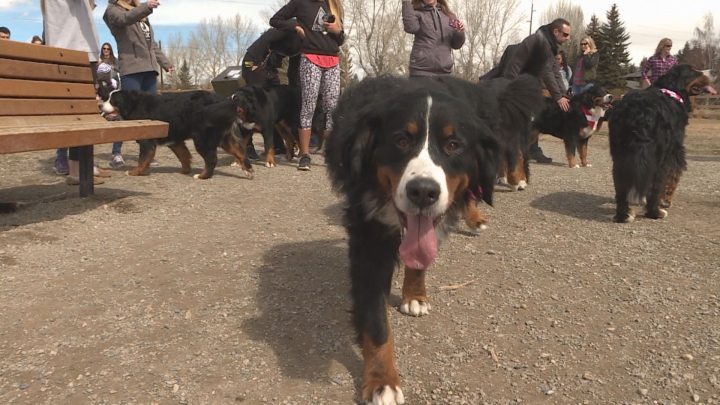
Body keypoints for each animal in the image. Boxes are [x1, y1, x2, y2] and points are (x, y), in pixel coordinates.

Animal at [100, 90, 253, 181]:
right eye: (107, 98)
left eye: (112, 100)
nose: (100, 105)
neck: (134, 105)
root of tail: (226, 101)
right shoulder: (175, 141)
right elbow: (183, 156)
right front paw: (185, 170)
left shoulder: (147, 140)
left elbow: (142, 160)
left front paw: (134, 172)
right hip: (223, 138)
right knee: (240, 152)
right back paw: (248, 171)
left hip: (203, 139)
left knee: (211, 159)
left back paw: (202, 176)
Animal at [326, 74, 540, 402]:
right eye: (401, 140)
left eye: (453, 145)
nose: (423, 191)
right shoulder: (368, 239)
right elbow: (376, 323)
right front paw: (382, 381)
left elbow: (419, 261)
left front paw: (415, 296)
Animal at [608, 63, 716, 223]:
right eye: (693, 71)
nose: (714, 71)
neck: (671, 90)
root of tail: (639, 111)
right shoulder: (676, 151)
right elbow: (672, 178)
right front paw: (665, 201)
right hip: (660, 156)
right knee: (656, 183)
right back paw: (656, 212)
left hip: (620, 154)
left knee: (621, 185)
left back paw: (623, 215)